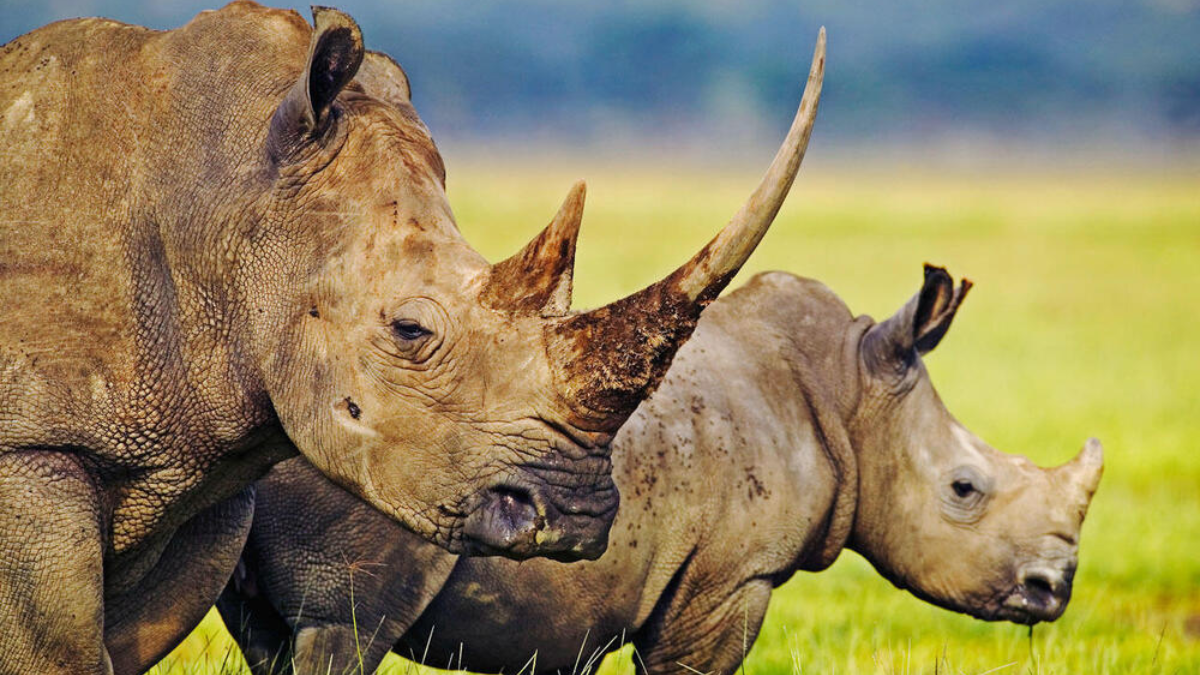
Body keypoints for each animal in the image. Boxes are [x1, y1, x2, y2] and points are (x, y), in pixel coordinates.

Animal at [0, 3, 825, 672]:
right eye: (410, 330)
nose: (577, 517)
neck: (226, 203)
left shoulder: (200, 463)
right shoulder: (32, 448)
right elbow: (57, 651)